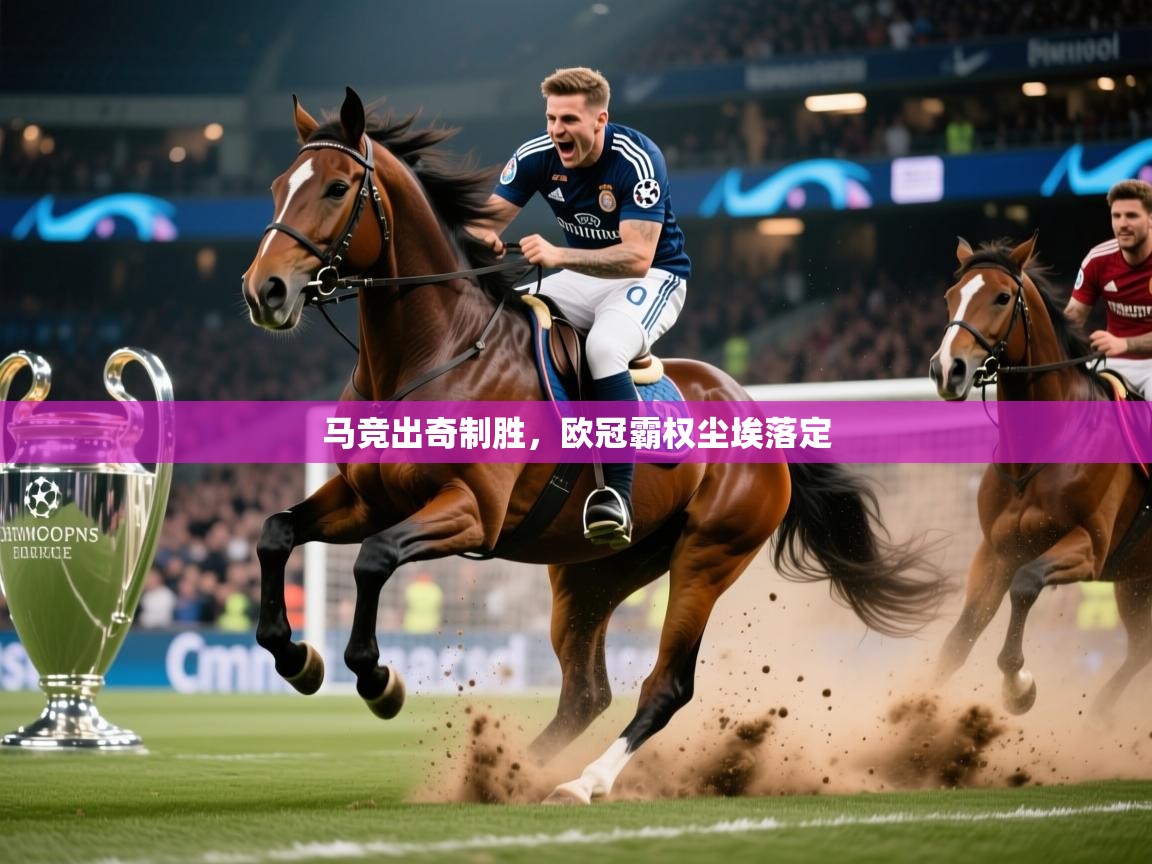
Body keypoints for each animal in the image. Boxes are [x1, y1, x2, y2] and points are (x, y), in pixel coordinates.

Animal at [241, 87, 941, 803]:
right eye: (277, 187)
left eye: (336, 187)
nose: (264, 290)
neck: (432, 354)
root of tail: (756, 415)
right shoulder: (365, 498)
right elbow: (276, 533)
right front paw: (295, 657)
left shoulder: (472, 511)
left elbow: (375, 560)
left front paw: (377, 678)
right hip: (591, 574)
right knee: (585, 692)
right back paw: (511, 775)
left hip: (707, 557)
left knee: (666, 685)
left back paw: (585, 781)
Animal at [929, 232, 1152, 718]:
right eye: (951, 296)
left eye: (1001, 297)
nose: (947, 369)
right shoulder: (995, 551)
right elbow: (958, 641)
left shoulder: (1089, 547)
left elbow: (1026, 584)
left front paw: (1018, 686)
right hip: (1137, 585)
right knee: (1140, 651)